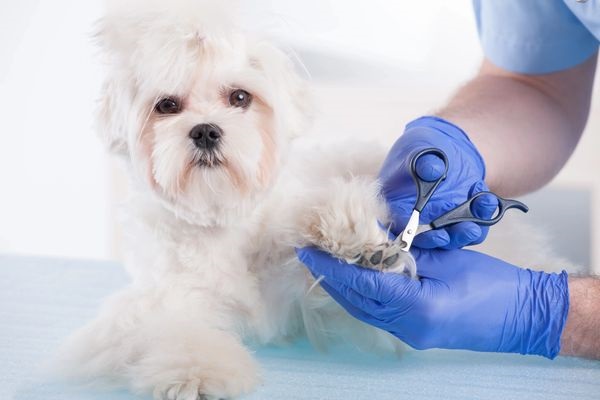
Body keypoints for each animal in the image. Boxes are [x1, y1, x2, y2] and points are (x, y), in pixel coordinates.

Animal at [59, 1, 576, 398]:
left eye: (240, 97)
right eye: (167, 105)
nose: (205, 130)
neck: (225, 221)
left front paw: (352, 237)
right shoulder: (169, 299)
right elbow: (177, 332)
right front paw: (196, 374)